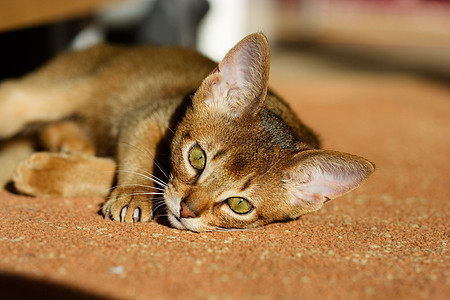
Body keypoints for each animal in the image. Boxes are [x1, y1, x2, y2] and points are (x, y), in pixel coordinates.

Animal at [0, 33, 374, 232]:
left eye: (240, 205)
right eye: (197, 158)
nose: (187, 210)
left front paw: (47, 171)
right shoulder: (146, 116)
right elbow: (140, 166)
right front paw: (133, 194)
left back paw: (69, 145)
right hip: (57, 92)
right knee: (15, 96)